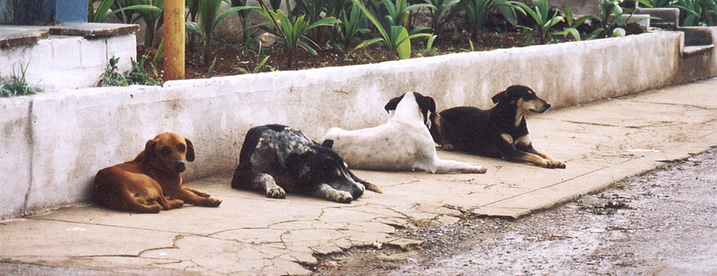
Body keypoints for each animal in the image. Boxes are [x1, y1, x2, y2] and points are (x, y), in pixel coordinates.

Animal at [93, 133, 221, 212]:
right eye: (164, 150)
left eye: (182, 147)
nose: (180, 164)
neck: (157, 165)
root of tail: (119, 188)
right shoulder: (176, 190)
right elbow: (193, 196)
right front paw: (209, 200)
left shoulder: (178, 186)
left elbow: (190, 189)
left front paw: (202, 193)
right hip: (152, 182)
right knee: (165, 205)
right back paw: (176, 202)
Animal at [320, 91, 484, 174]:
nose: (431, 123)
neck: (407, 117)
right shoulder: (435, 164)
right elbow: (457, 163)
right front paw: (477, 168)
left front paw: (473, 163)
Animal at [430, 85, 564, 168]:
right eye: (528, 95)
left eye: (534, 94)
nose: (548, 104)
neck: (514, 120)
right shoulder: (510, 151)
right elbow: (532, 156)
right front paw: (545, 162)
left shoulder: (527, 146)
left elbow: (541, 153)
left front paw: (555, 160)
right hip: (435, 115)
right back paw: (447, 144)